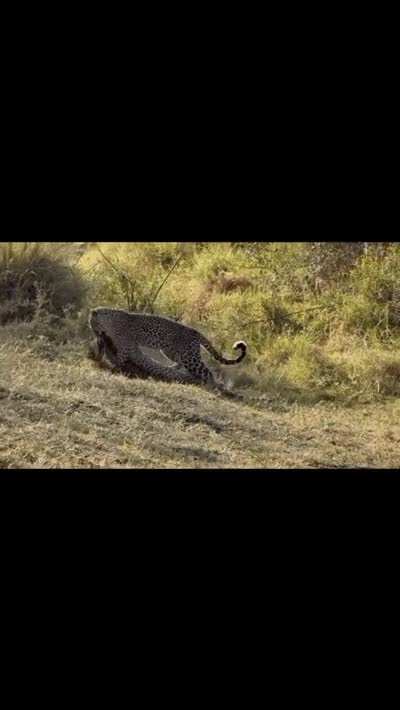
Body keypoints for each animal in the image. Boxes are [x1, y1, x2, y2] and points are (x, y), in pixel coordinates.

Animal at [89, 307, 247, 390]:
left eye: (92, 324)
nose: (95, 332)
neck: (110, 319)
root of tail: (196, 332)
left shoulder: (125, 346)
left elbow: (120, 358)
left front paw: (114, 367)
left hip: (189, 356)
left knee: (206, 372)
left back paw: (212, 386)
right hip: (170, 352)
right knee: (180, 364)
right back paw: (172, 368)